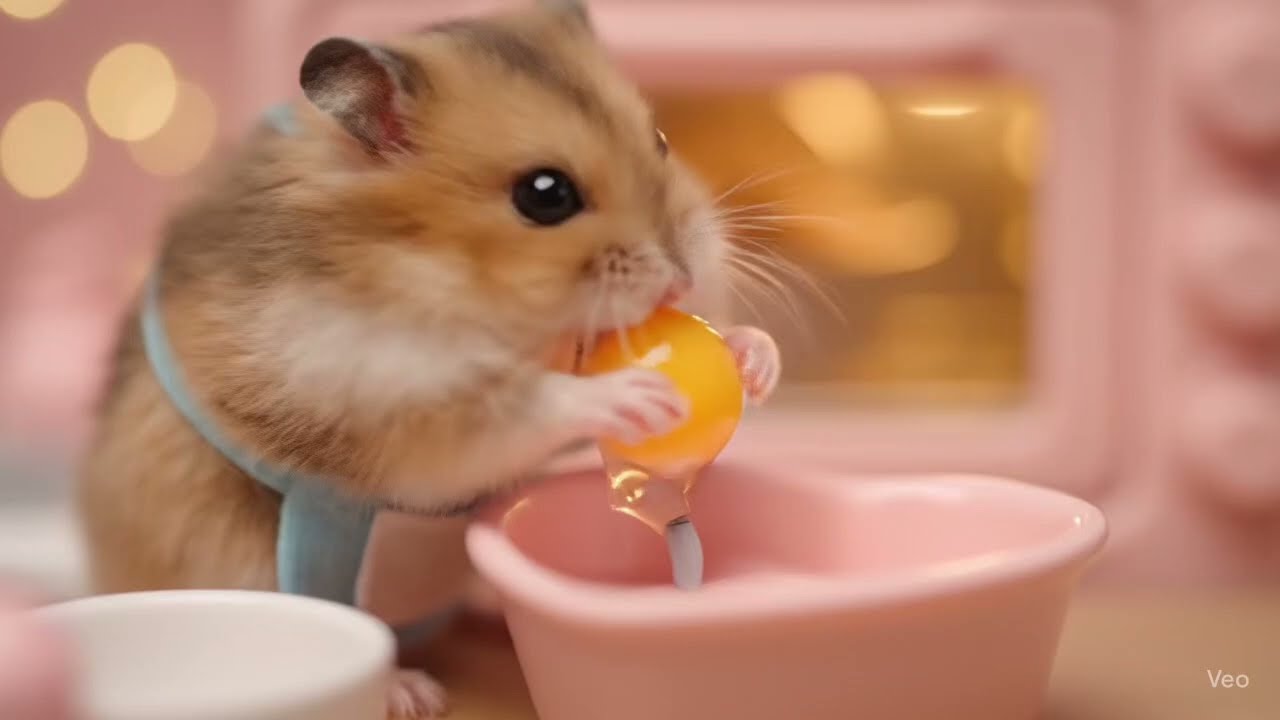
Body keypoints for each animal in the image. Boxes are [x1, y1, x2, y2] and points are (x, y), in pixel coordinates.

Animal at [78, 0, 781, 717]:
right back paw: (413, 693)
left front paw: (754, 359)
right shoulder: (387, 399)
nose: (682, 278)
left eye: (661, 141)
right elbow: (522, 404)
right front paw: (635, 395)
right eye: (545, 194)